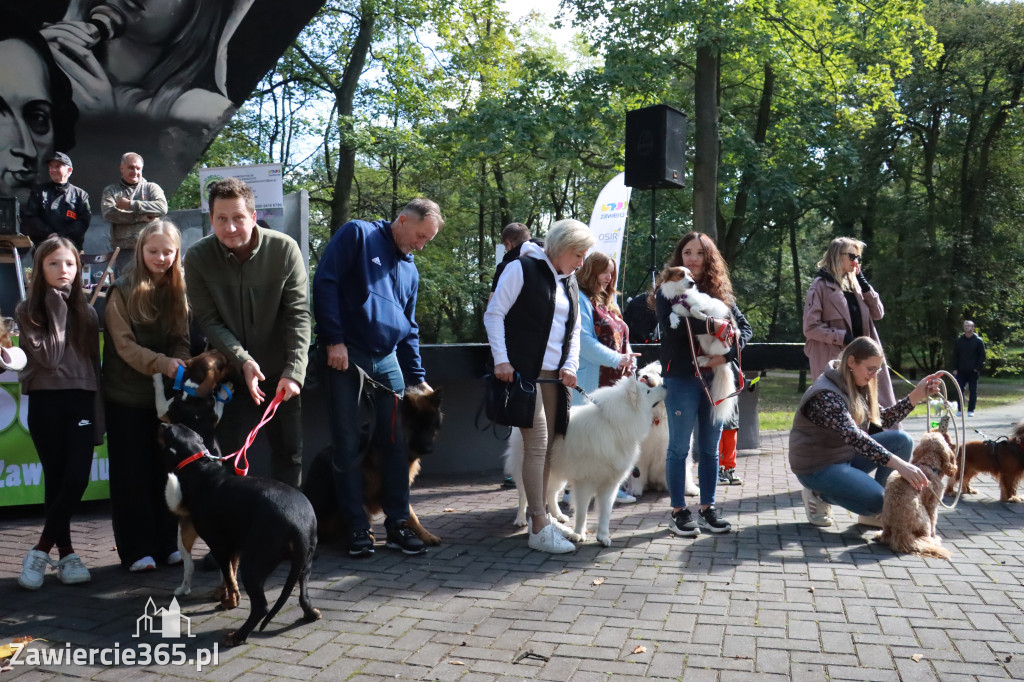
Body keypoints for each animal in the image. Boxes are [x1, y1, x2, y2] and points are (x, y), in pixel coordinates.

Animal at [161, 417, 319, 647]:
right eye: (178, 426)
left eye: (169, 432)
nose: (162, 424)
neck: (200, 468)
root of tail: (298, 525)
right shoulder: (233, 545)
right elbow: (231, 576)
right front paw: (230, 599)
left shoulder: (219, 546)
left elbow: (228, 576)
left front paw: (229, 601)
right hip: (305, 562)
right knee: (303, 592)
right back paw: (311, 613)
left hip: (254, 564)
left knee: (261, 606)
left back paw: (237, 636)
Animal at [501, 368, 663, 544]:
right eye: (648, 391)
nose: (665, 385)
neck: (613, 425)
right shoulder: (585, 482)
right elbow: (582, 512)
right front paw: (578, 534)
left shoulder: (610, 484)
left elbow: (605, 513)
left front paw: (603, 537)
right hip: (528, 468)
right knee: (524, 496)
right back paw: (521, 519)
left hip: (557, 475)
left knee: (551, 494)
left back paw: (558, 516)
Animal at [655, 264, 737, 419]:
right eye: (681, 275)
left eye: (691, 276)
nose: (692, 283)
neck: (681, 295)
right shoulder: (678, 311)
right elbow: (672, 314)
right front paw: (674, 322)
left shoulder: (705, 303)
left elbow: (694, 308)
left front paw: (702, 316)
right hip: (704, 341)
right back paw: (701, 359)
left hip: (720, 343)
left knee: (715, 356)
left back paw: (703, 360)